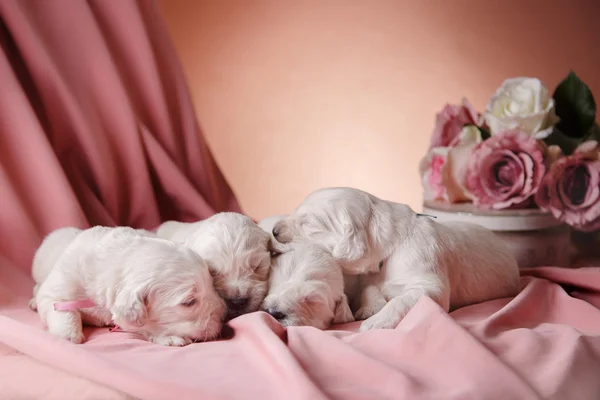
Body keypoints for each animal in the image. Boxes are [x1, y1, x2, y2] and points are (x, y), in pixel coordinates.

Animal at [29, 227, 225, 346]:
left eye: (212, 285)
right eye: (189, 302)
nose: (225, 316)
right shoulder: (60, 285)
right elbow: (60, 307)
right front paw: (69, 335)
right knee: (37, 287)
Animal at [270, 188, 520, 332]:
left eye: (307, 224)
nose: (273, 231)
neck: (393, 247)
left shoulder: (429, 283)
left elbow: (403, 300)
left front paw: (376, 321)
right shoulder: (369, 277)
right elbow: (369, 288)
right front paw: (371, 308)